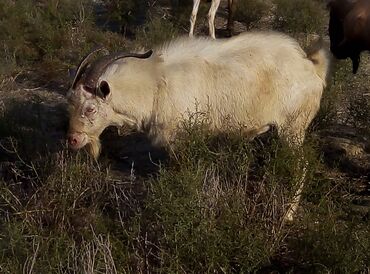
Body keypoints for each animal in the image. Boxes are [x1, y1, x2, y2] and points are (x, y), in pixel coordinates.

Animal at [66, 32, 330, 220]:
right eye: (72, 103)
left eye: (90, 109)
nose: (73, 139)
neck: (156, 84)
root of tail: (312, 68)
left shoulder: (179, 140)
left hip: (292, 129)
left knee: (301, 165)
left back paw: (288, 216)